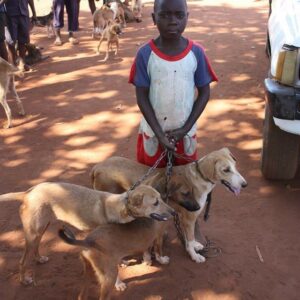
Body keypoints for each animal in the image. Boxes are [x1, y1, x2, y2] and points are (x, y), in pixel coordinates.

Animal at [0, 182, 169, 284]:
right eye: (155, 203)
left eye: (161, 198)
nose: (173, 211)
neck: (123, 207)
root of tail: (27, 192)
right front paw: (119, 284)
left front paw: (124, 262)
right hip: (33, 233)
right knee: (22, 261)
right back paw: (24, 280)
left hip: (41, 228)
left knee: (36, 247)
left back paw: (39, 259)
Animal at [90, 148, 247, 262]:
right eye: (226, 170)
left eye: (235, 166)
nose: (245, 185)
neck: (199, 177)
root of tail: (97, 166)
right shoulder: (188, 218)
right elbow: (189, 239)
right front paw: (195, 256)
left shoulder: (185, 217)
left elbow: (190, 239)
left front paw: (195, 245)